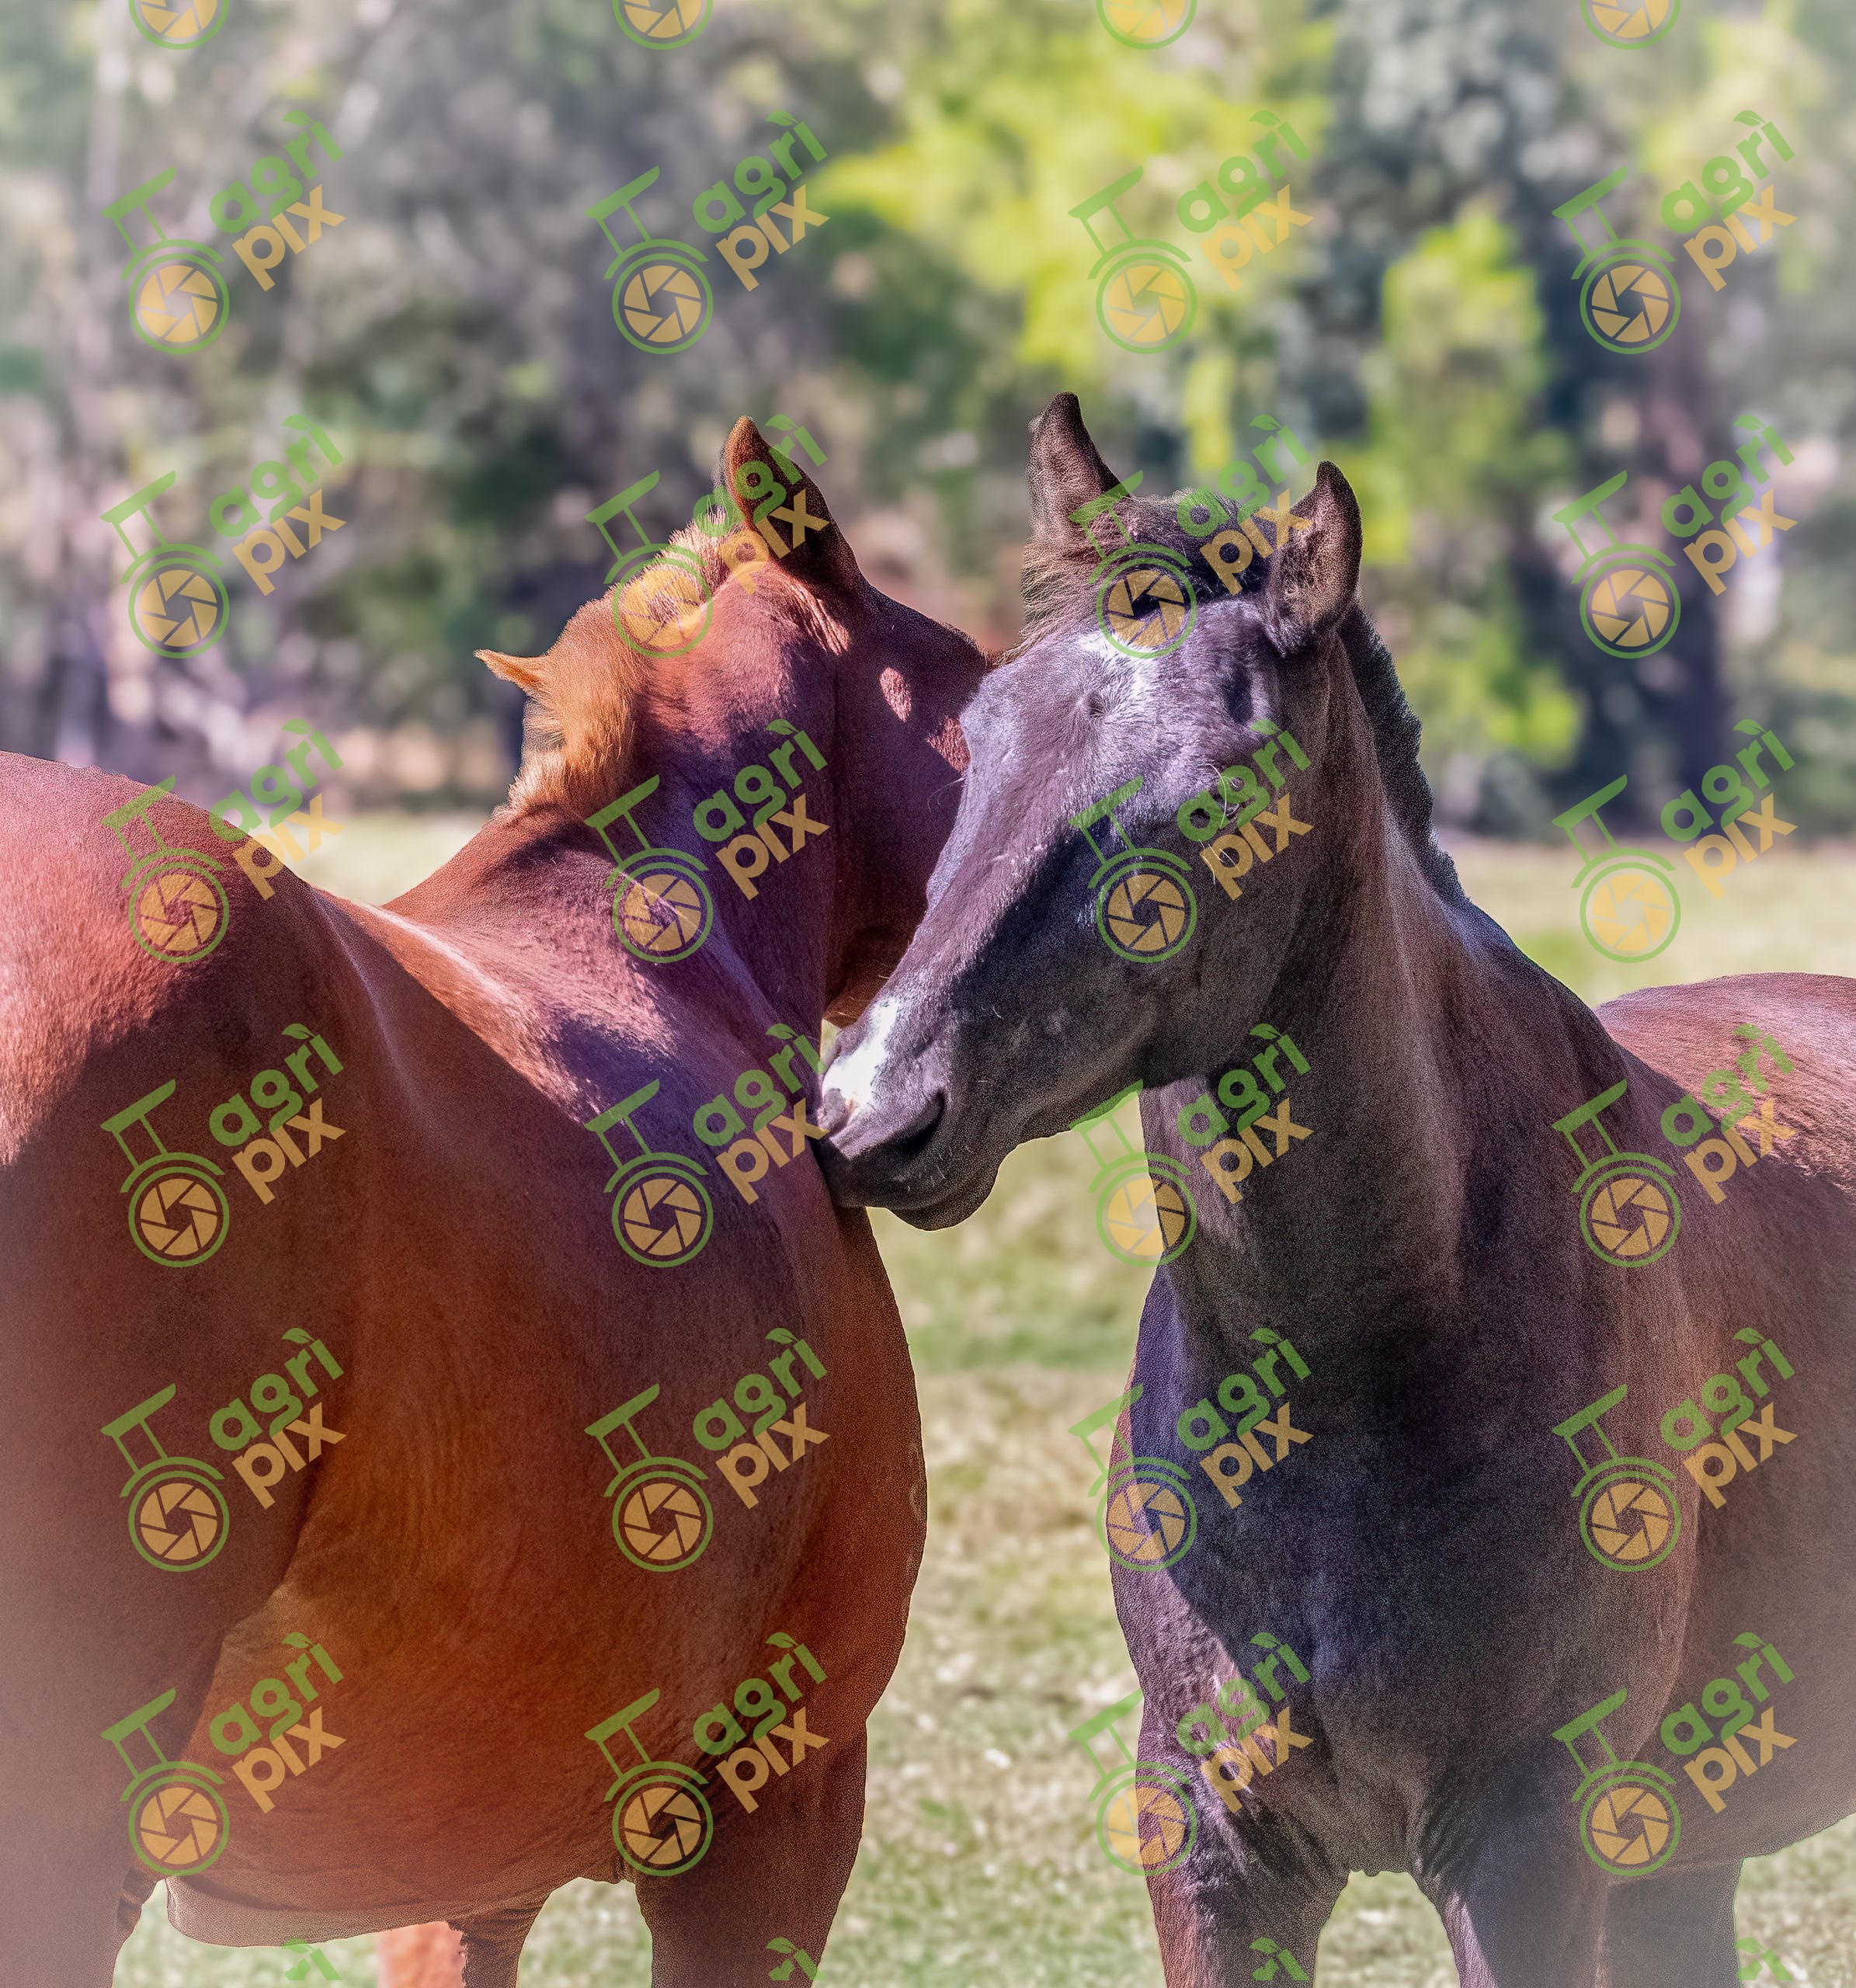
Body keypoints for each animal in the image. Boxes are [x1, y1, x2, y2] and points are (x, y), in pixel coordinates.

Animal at [818, 393, 1856, 1986]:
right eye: (979, 736)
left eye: (1208, 796)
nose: (870, 1110)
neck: (1368, 1362)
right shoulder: (1214, 1847)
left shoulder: (1524, 1847)